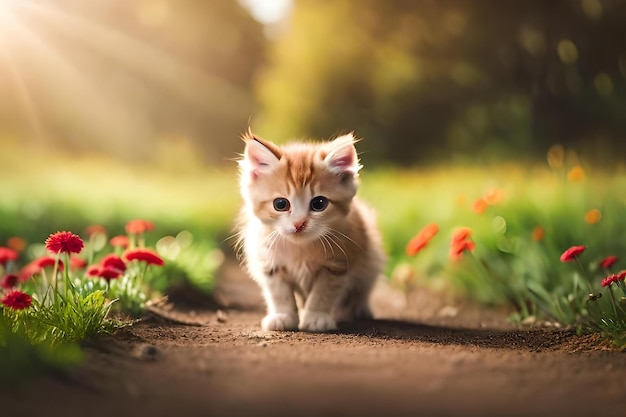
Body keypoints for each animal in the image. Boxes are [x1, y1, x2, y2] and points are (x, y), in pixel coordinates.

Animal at [235, 130, 386, 332]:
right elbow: (279, 293)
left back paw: (360, 308)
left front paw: (316, 317)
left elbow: (323, 292)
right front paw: (283, 316)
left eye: (319, 203)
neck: (300, 249)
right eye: (280, 204)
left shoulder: (337, 264)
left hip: (372, 256)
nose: (299, 223)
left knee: (363, 287)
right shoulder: (269, 263)